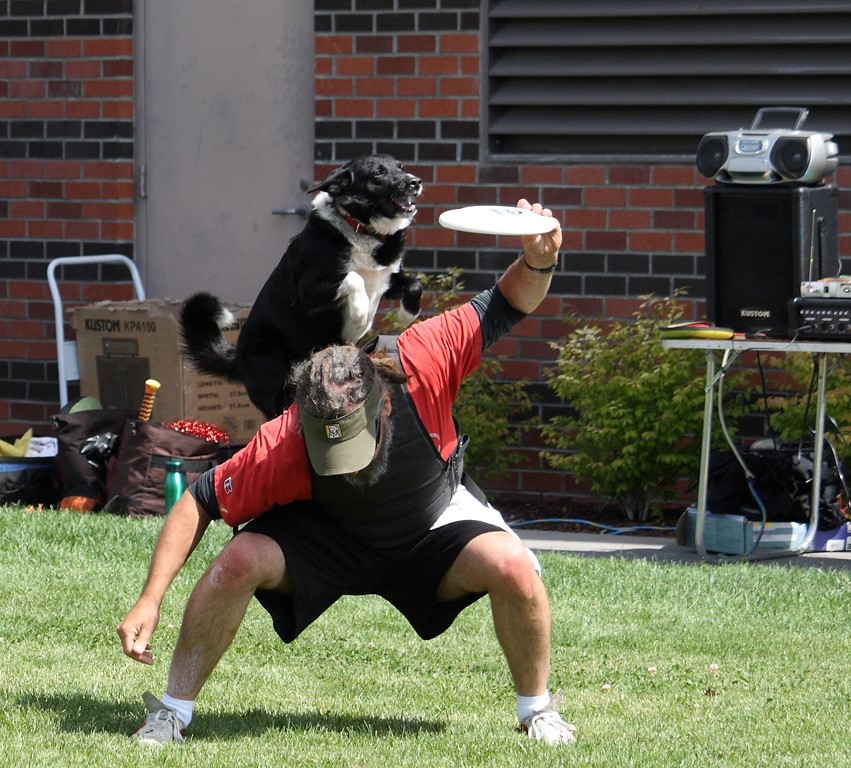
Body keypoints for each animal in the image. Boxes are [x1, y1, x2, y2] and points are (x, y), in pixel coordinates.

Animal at [180, 154, 422, 420]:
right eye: (378, 173)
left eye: (401, 167)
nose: (415, 182)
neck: (362, 229)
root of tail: (238, 359)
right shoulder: (308, 291)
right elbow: (353, 278)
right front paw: (360, 313)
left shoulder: (386, 280)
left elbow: (415, 284)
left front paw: (407, 314)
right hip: (279, 383)